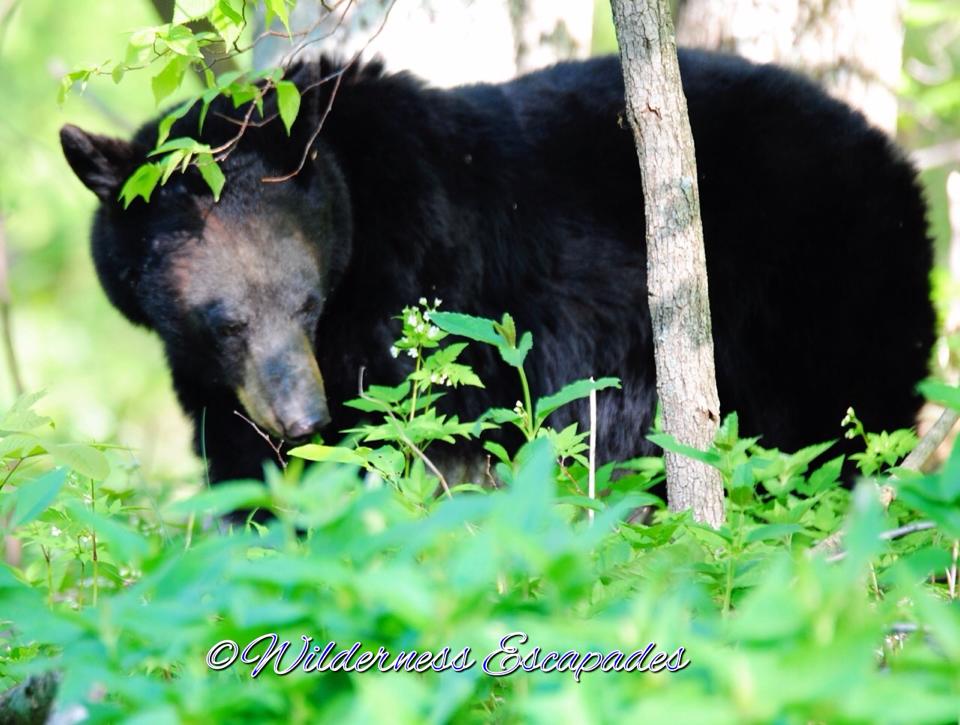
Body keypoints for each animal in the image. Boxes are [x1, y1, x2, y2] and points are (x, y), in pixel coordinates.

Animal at [59, 50, 934, 486]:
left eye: (306, 302)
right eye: (225, 319)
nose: (302, 415)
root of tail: (889, 155)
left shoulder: (415, 295)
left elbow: (401, 434)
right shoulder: (212, 377)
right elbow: (243, 462)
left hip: (825, 282)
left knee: (840, 425)